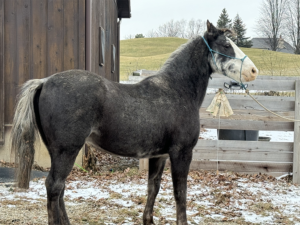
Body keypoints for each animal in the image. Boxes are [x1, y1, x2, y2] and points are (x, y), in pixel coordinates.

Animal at [9, 20, 258, 224]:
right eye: (226, 45)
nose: (253, 71)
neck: (176, 90)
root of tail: (44, 81)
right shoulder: (181, 153)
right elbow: (180, 193)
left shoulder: (159, 155)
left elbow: (153, 187)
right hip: (66, 151)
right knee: (54, 186)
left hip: (58, 152)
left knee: (59, 188)